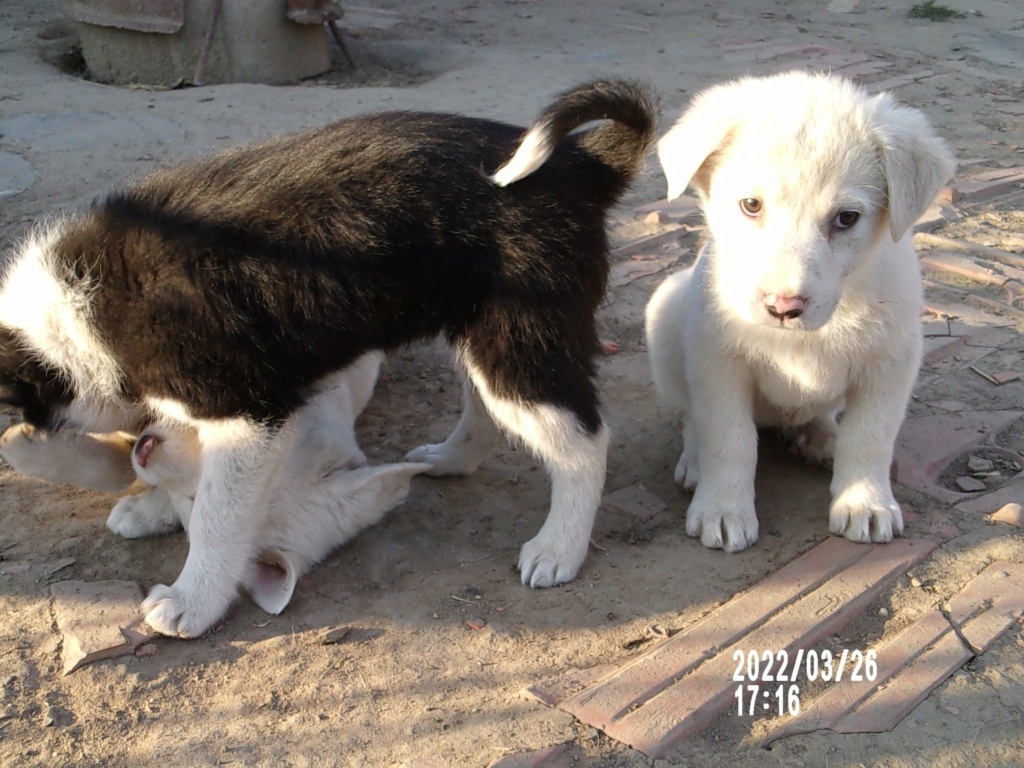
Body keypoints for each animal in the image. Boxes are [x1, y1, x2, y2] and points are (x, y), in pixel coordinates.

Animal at [0, 81, 655, 638]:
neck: (70, 320)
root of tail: (582, 164)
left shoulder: (246, 409)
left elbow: (218, 513)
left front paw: (191, 599)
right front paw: (147, 507)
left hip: (520, 339)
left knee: (582, 443)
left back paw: (558, 550)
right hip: (483, 331)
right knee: (488, 409)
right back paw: (449, 460)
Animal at [643, 70, 954, 552]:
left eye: (847, 218)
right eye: (751, 205)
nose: (783, 307)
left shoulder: (891, 362)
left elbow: (871, 435)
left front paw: (865, 502)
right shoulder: (717, 361)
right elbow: (728, 437)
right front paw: (723, 509)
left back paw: (822, 436)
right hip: (666, 313)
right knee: (691, 418)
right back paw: (695, 462)